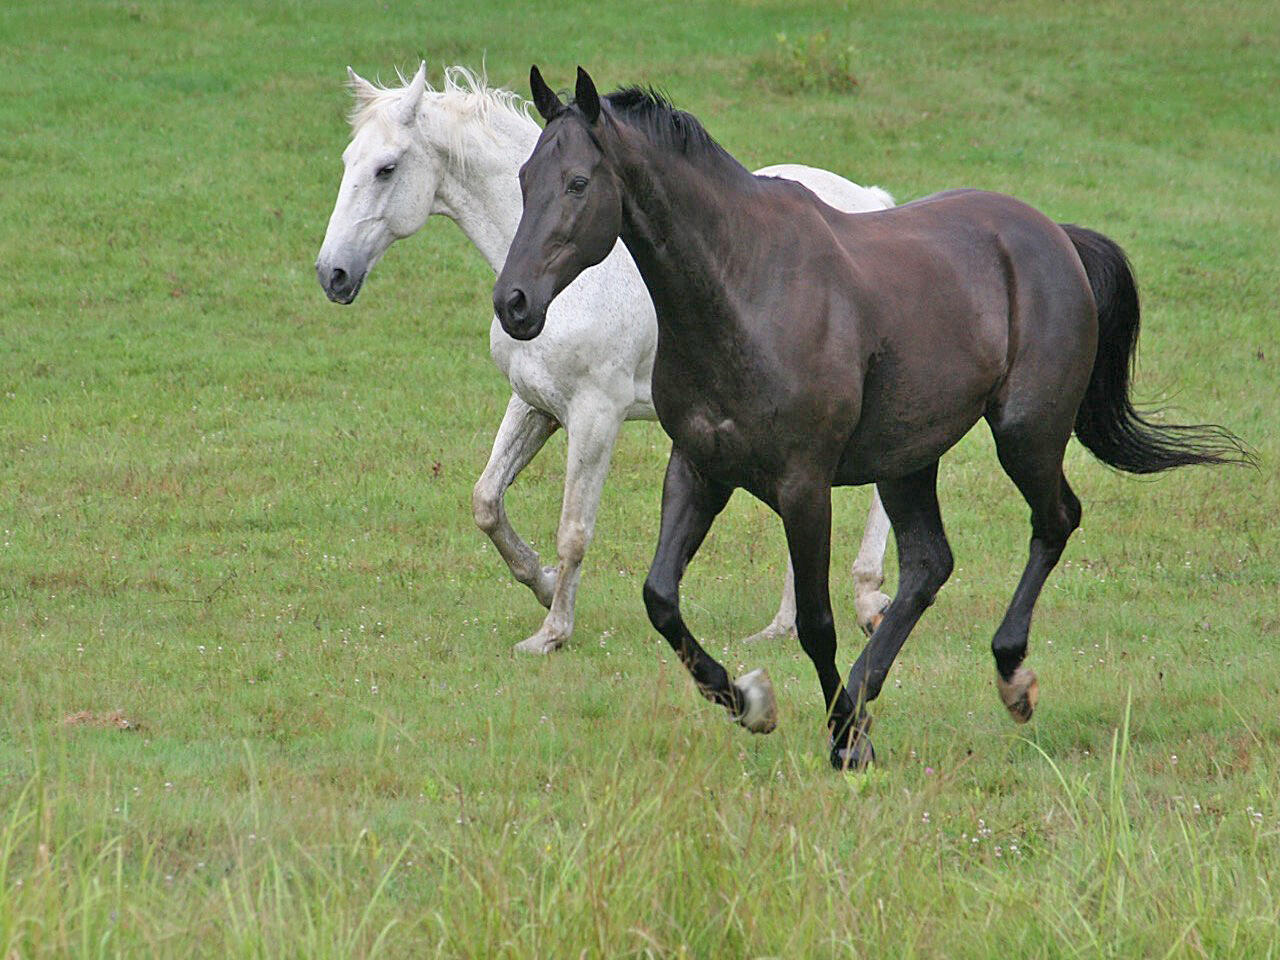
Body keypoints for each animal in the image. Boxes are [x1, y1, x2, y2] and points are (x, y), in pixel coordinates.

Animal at [314, 63, 896, 653]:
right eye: (347, 160)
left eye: (386, 169)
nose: (332, 274)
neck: (568, 283)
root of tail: (872, 203)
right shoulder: (535, 405)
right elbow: (486, 501)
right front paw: (544, 584)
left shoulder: (596, 417)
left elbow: (573, 530)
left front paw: (552, 632)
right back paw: (783, 624)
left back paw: (869, 600)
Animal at [493, 67, 1253, 768]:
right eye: (525, 178)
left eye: (579, 183)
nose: (514, 303)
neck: (746, 287)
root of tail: (1055, 238)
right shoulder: (700, 468)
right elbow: (661, 599)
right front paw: (751, 701)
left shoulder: (804, 485)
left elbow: (816, 622)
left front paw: (841, 739)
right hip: (908, 458)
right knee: (929, 564)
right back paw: (867, 695)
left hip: (1025, 435)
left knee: (1055, 521)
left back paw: (1008, 676)